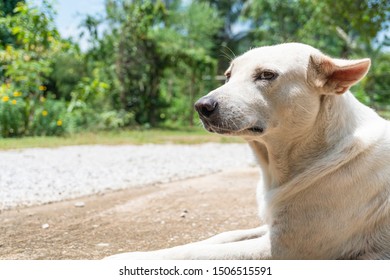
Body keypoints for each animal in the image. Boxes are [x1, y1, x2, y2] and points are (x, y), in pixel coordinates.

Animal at [106, 42, 390, 260]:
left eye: (266, 75)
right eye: (228, 75)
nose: (201, 106)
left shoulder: (282, 248)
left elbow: (192, 254)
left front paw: (125, 259)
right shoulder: (271, 228)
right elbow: (220, 236)